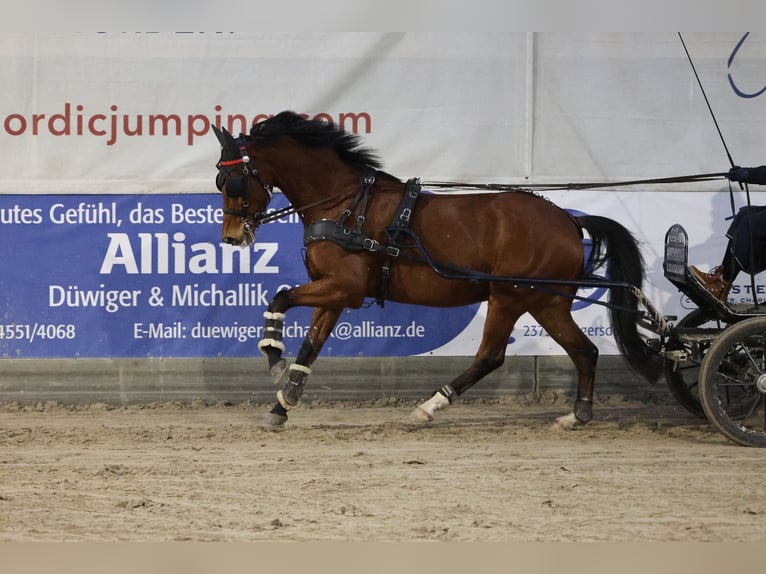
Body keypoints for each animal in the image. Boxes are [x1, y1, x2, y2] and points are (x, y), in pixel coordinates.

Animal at [213, 111, 664, 428]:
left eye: (232, 180)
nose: (232, 237)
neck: (344, 204)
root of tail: (569, 220)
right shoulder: (334, 291)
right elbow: (311, 345)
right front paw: (283, 404)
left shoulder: (346, 287)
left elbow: (280, 298)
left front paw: (273, 355)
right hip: (546, 302)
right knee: (585, 351)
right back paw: (577, 414)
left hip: (509, 295)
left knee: (490, 356)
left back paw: (430, 406)